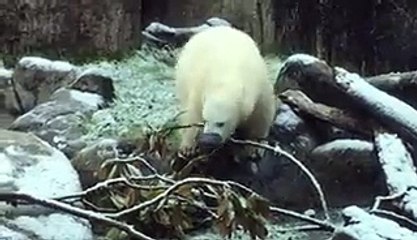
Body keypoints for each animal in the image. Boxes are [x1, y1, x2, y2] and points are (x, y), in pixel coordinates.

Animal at [175, 25, 276, 158]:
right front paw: (188, 147)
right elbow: (192, 114)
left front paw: (255, 147)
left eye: (220, 123)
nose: (207, 140)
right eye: (205, 120)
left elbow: (262, 115)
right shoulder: (199, 86)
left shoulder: (260, 86)